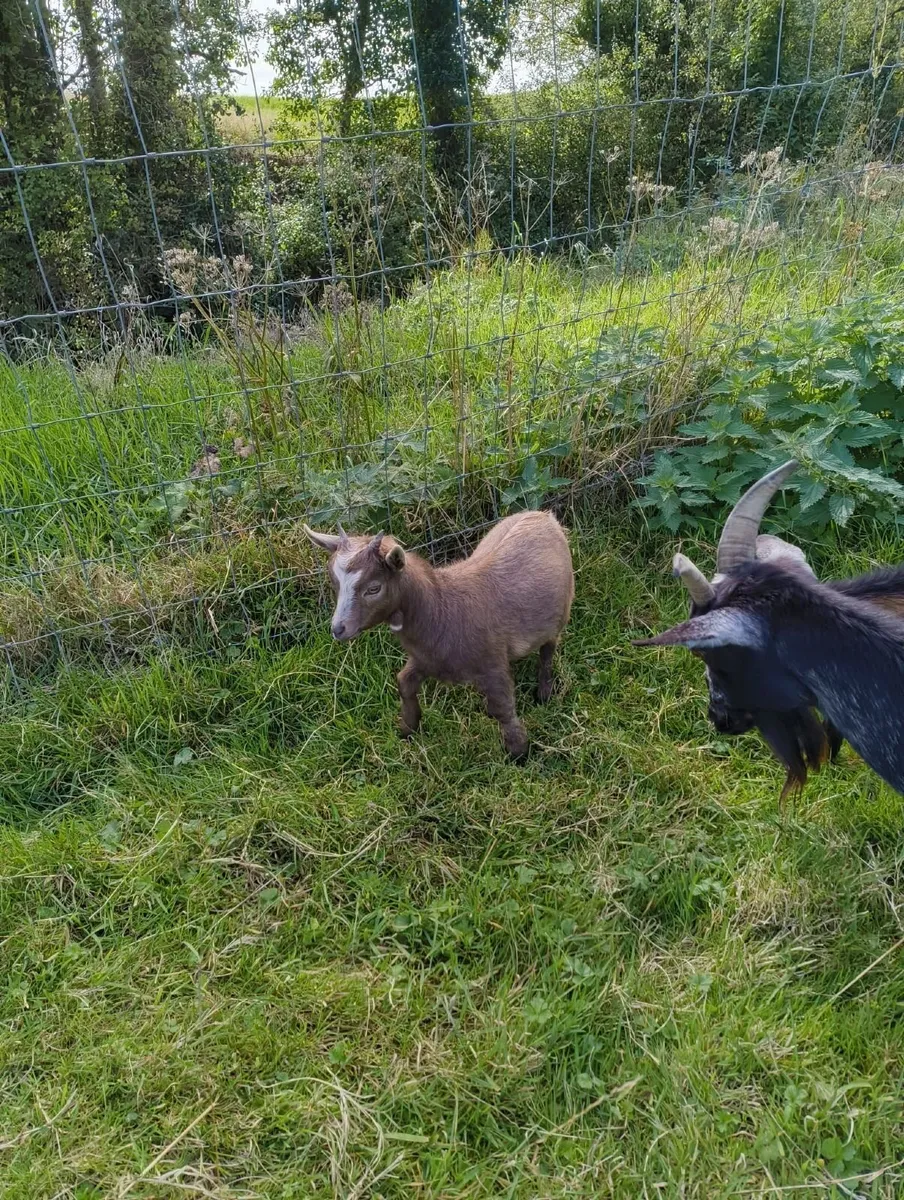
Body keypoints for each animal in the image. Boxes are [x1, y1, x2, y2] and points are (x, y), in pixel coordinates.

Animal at [303, 511, 574, 758]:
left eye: (373, 588)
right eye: (335, 584)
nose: (338, 629)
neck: (442, 608)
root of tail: (544, 516)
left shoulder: (492, 662)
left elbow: (503, 708)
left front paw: (519, 753)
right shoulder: (427, 658)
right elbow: (404, 682)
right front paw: (408, 730)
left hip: (560, 613)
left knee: (548, 650)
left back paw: (544, 693)